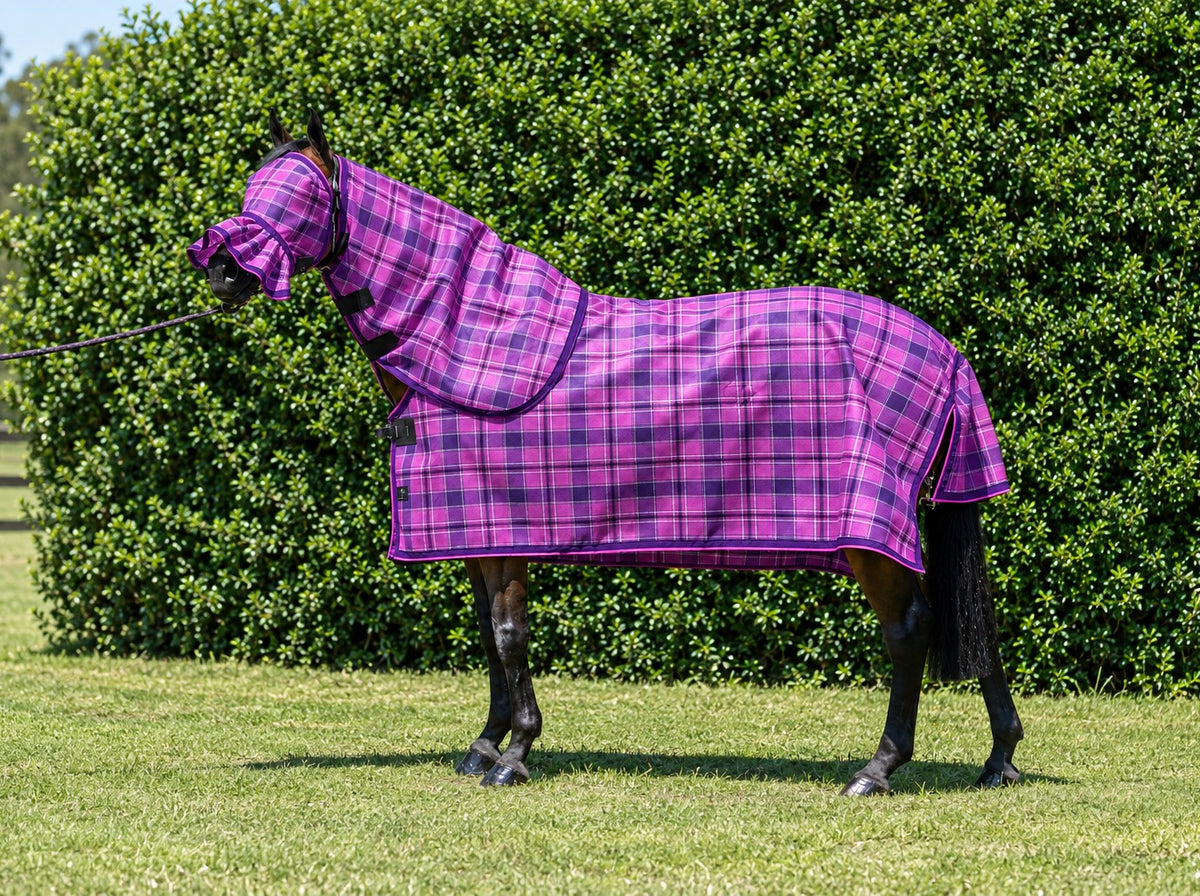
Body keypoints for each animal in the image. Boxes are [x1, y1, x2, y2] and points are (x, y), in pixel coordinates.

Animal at [189, 109, 1023, 795]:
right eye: (254, 187)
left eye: (299, 197)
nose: (223, 270)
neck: (463, 341)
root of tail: (943, 351)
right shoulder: (480, 536)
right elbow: (490, 640)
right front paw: (485, 746)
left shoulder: (506, 534)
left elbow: (508, 636)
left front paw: (515, 755)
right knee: (973, 620)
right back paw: (1000, 759)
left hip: (869, 540)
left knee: (909, 631)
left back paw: (877, 769)